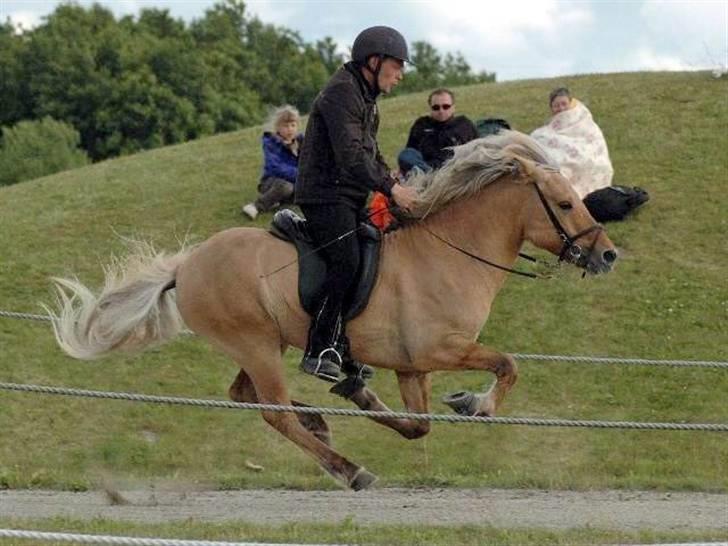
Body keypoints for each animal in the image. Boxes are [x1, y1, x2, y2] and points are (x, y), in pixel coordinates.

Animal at [47, 131, 616, 488]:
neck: (451, 253)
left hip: (263, 344)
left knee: (246, 396)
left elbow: (419, 425)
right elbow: (507, 364)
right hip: (255, 343)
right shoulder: (442, 349)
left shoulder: (412, 366)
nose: (607, 255)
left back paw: (320, 417)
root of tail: (187, 265)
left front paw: (362, 392)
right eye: (565, 204)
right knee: (272, 411)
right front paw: (478, 404)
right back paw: (349, 469)